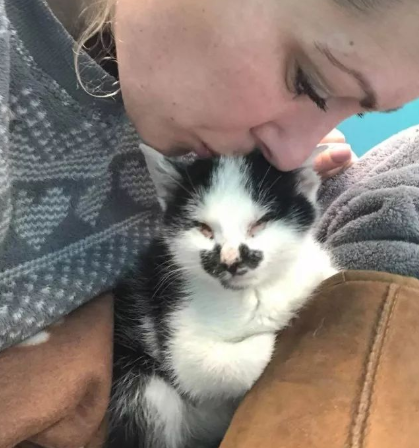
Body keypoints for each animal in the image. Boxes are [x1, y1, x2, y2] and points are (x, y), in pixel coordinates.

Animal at [107, 146, 337, 448]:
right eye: (204, 228)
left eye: (259, 224)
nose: (230, 260)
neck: (251, 293)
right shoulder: (172, 318)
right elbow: (205, 366)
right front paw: (270, 333)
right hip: (139, 384)